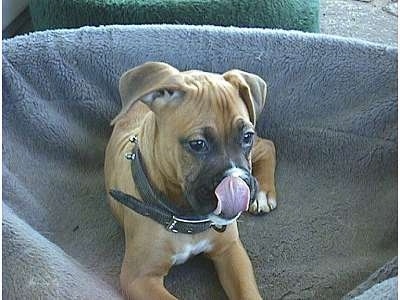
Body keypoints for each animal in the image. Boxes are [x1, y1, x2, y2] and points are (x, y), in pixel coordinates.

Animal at [104, 62, 276, 298]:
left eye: (246, 137)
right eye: (198, 144)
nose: (238, 184)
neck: (185, 215)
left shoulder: (230, 250)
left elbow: (248, 292)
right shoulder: (139, 278)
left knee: (268, 144)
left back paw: (264, 194)